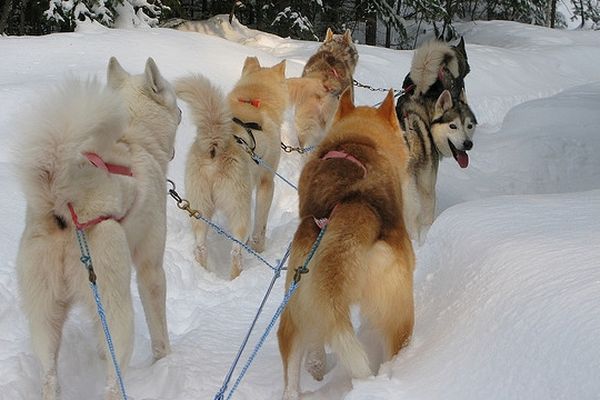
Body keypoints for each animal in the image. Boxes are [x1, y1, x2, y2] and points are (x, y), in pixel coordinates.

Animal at [15, 57, 180, 400]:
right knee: (112, 383)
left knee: (49, 376)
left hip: (45, 317)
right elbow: (159, 329)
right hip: (118, 308)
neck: (133, 137)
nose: (183, 112)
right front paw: (165, 362)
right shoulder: (150, 268)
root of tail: (63, 202)